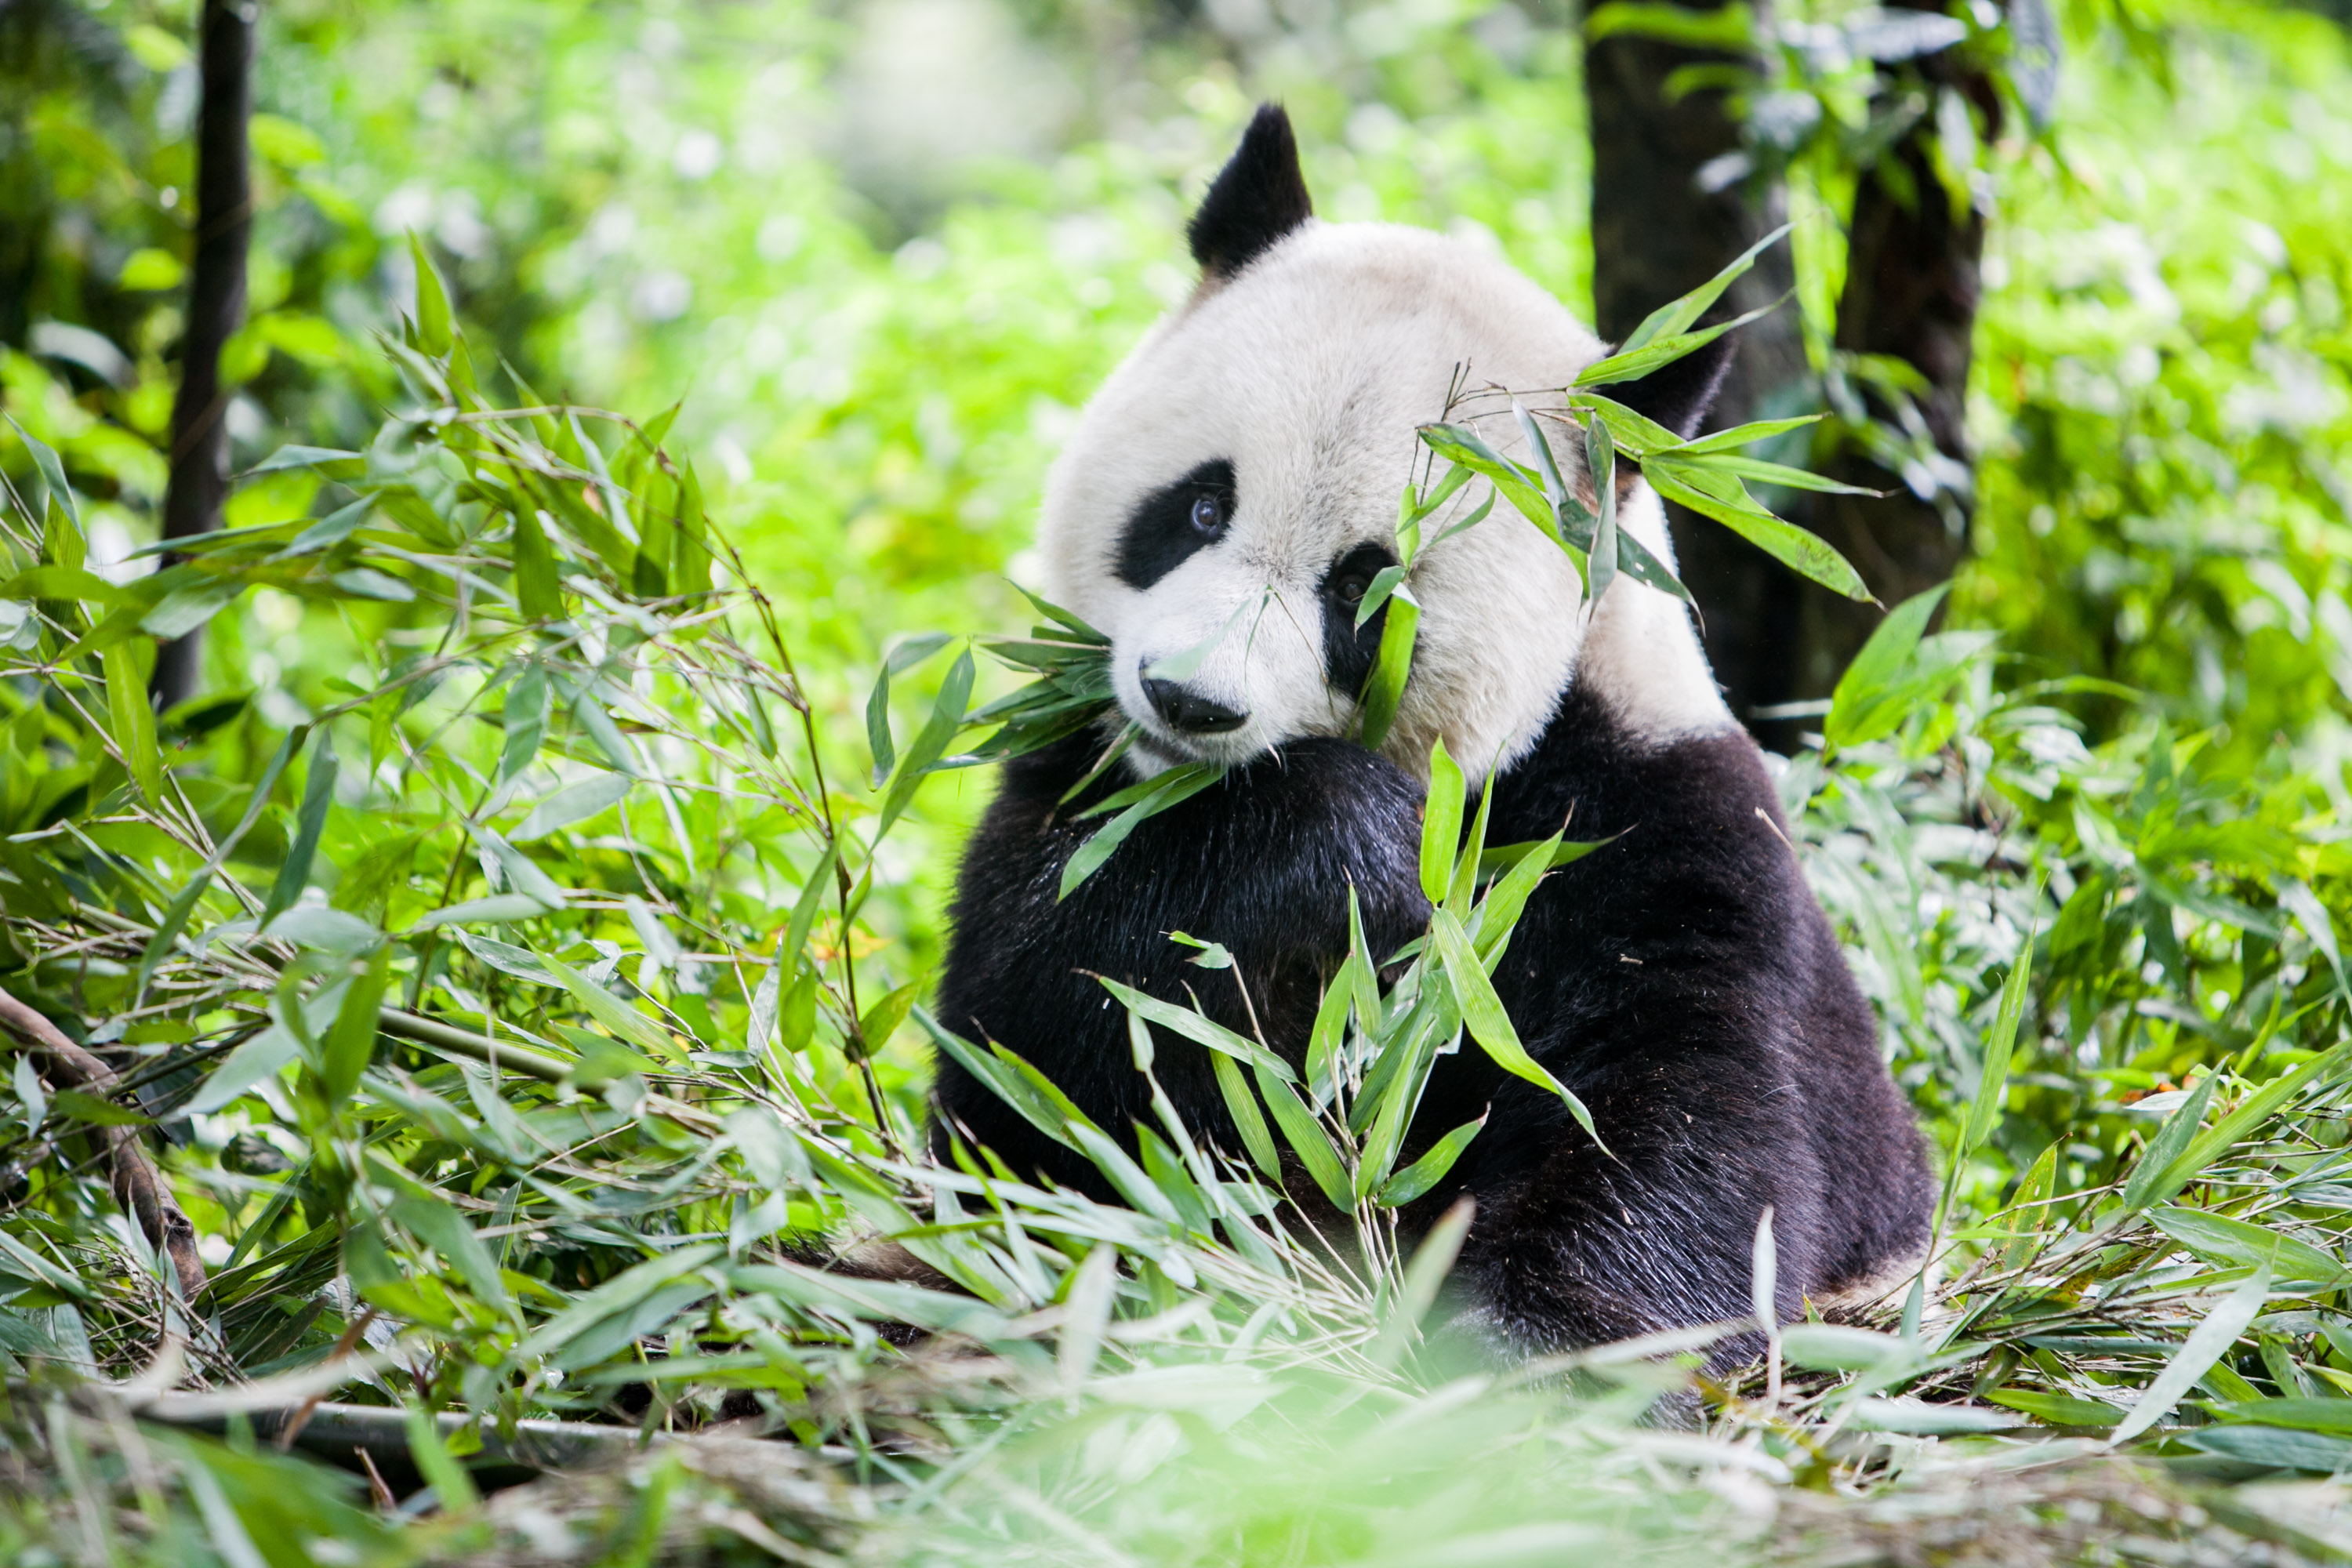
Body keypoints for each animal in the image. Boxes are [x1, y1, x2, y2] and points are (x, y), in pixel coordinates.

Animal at [932, 104, 1933, 1358]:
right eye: (1199, 507)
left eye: (1363, 591)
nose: (1190, 702)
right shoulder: (1079, 776)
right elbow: (1035, 1066)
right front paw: (1343, 845)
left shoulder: (1658, 833)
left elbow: (1687, 1113)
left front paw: (1533, 1347)